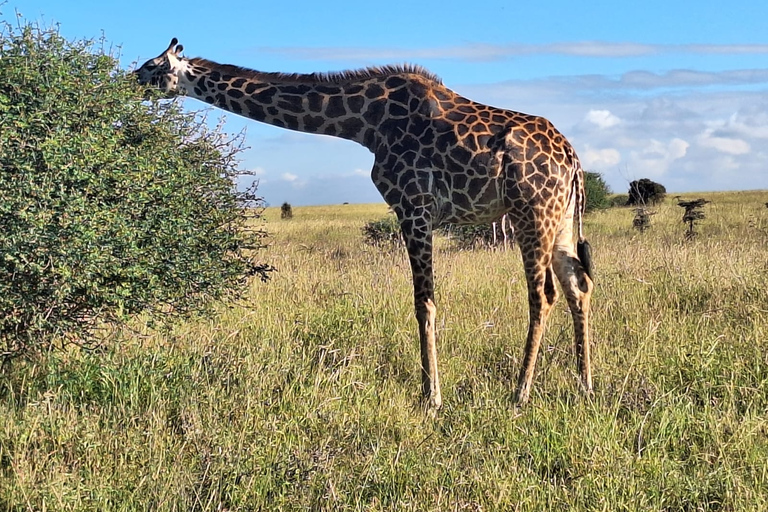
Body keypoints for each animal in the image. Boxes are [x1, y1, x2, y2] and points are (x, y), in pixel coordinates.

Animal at [138, 38, 592, 410]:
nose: (130, 80)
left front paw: (431, 398)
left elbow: (423, 302)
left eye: (152, 65)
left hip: (530, 211)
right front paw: (431, 393)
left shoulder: (413, 205)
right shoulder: (415, 209)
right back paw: (584, 386)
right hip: (562, 219)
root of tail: (572, 159)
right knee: (578, 285)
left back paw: (519, 394)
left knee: (543, 294)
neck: (364, 123)